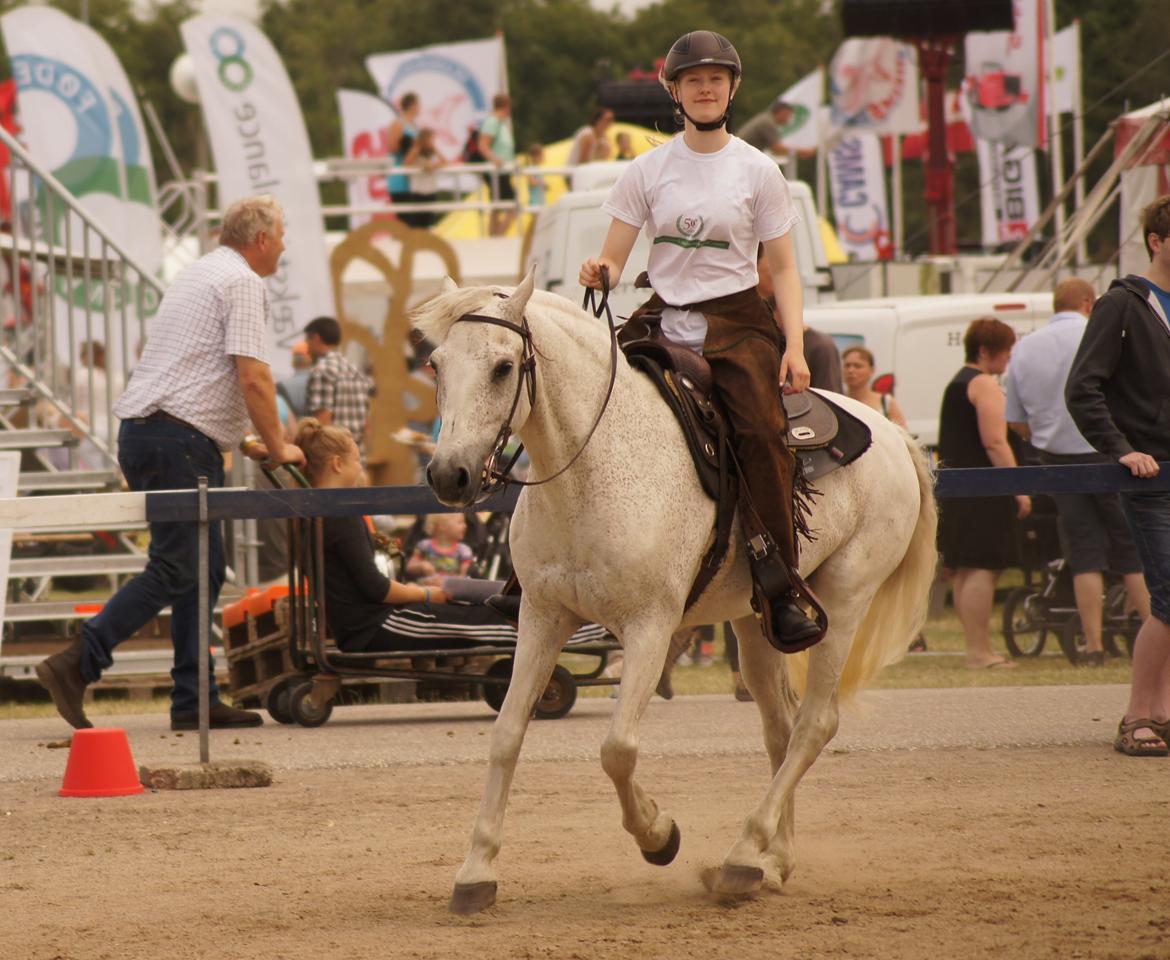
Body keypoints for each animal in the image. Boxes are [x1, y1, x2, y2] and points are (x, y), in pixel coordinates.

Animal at [416, 271, 935, 912]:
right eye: (436, 364)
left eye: (503, 366)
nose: (449, 474)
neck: (592, 467)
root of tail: (894, 435)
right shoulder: (542, 617)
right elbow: (507, 735)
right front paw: (476, 870)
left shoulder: (651, 626)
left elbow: (617, 747)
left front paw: (659, 836)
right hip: (756, 621)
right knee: (781, 729)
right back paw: (772, 860)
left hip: (845, 598)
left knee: (815, 725)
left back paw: (743, 855)